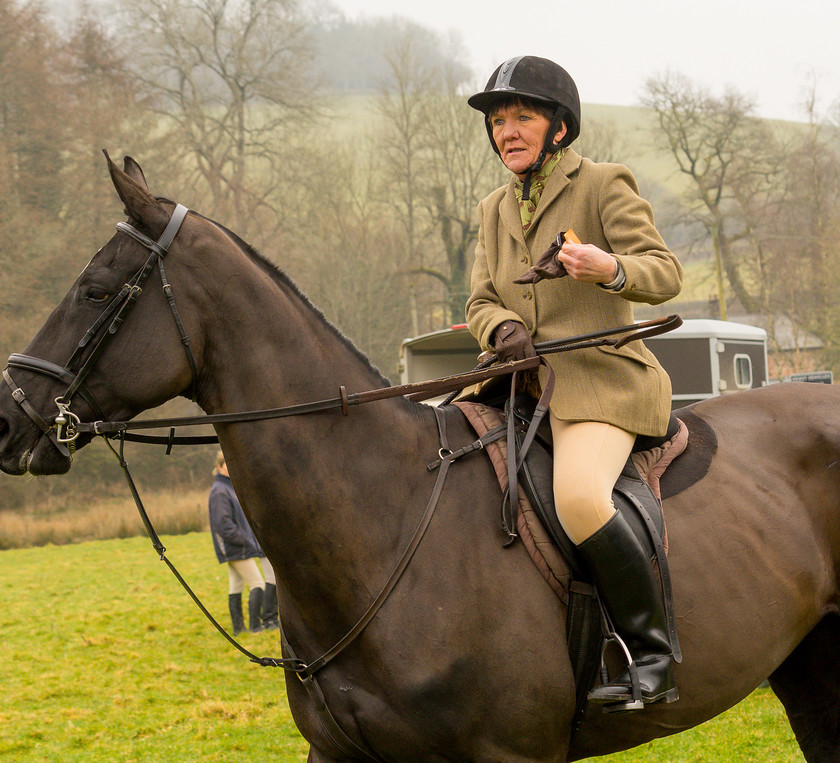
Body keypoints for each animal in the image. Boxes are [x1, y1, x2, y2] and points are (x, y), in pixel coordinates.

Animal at [1, 152, 840, 760]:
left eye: (94, 289)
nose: (9, 419)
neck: (384, 516)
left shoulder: (509, 755)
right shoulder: (341, 755)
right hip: (809, 669)